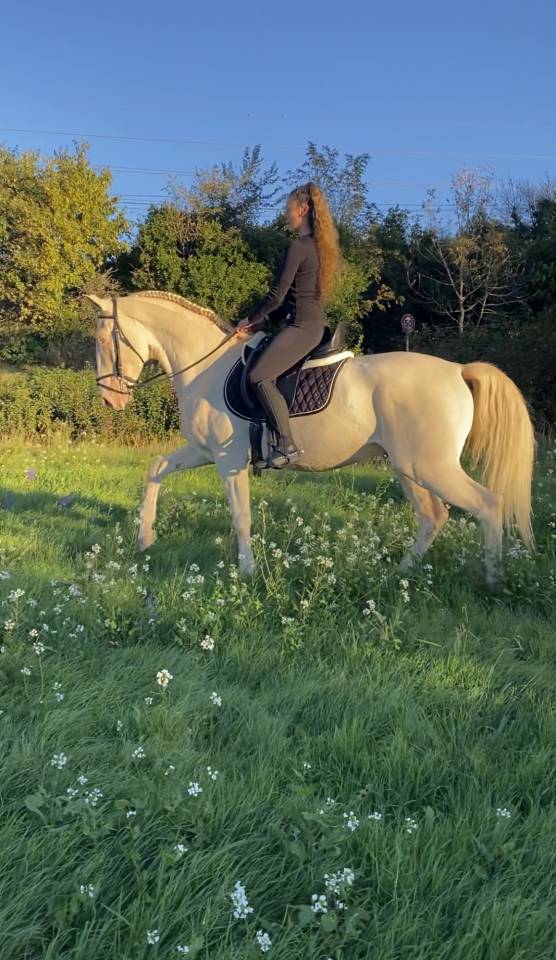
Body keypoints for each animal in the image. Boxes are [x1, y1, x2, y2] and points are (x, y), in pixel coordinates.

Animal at [84, 291, 536, 585]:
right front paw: (145, 538)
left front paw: (246, 572)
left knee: (487, 504)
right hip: (409, 469)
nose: (109, 399)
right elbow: (156, 469)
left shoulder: (228, 461)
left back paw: (492, 581)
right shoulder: (202, 451)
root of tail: (458, 370)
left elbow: (240, 516)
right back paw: (399, 574)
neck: (205, 366)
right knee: (434, 517)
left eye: (105, 339)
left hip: (430, 467)